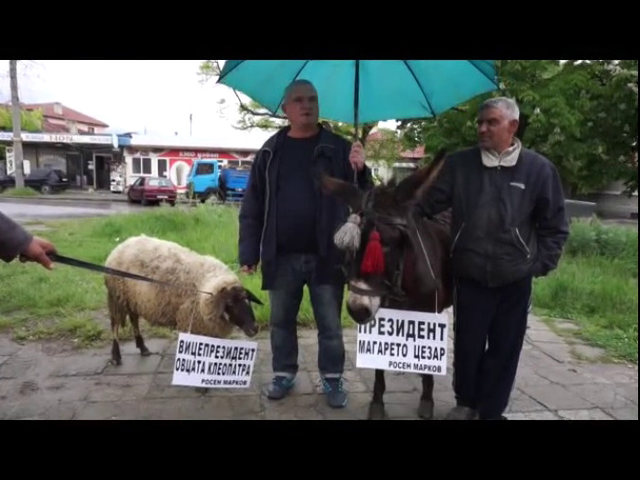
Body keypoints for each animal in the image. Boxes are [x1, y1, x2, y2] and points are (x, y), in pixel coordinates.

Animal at [105, 234, 260, 366]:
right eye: (230, 304)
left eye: (248, 300)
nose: (254, 328)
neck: (205, 288)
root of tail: (121, 246)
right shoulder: (193, 322)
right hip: (116, 297)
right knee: (115, 326)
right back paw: (116, 356)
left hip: (133, 299)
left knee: (134, 320)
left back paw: (142, 347)